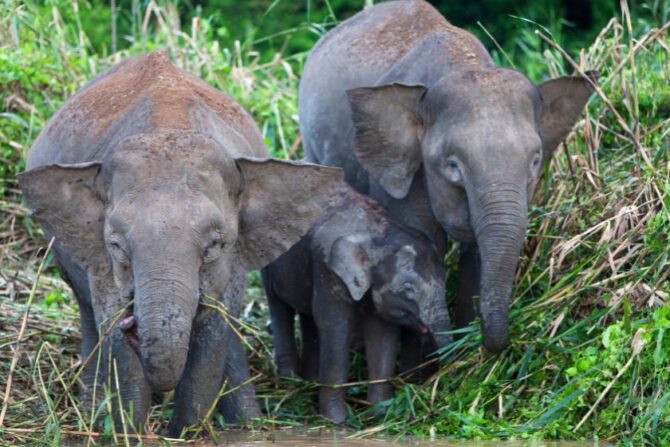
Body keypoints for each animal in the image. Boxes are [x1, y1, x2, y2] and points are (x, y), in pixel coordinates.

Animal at [19, 50, 346, 436]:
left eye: (214, 246)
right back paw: (91, 411)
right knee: (86, 309)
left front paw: (182, 435)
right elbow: (112, 329)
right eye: (117, 246)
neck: (168, 125)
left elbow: (213, 328)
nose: (134, 323)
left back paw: (247, 424)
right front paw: (129, 432)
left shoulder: (235, 255)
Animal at [262, 187, 452, 426]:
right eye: (408, 290)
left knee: (308, 317)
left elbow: (382, 335)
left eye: (444, 282)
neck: (376, 234)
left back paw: (310, 382)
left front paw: (379, 415)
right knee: (280, 308)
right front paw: (336, 421)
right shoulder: (328, 269)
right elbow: (336, 327)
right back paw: (290, 382)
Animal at [300, 0, 600, 354]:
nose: (495, 343)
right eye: (453, 165)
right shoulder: (403, 176)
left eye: (535, 160)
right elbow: (421, 246)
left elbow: (477, 253)